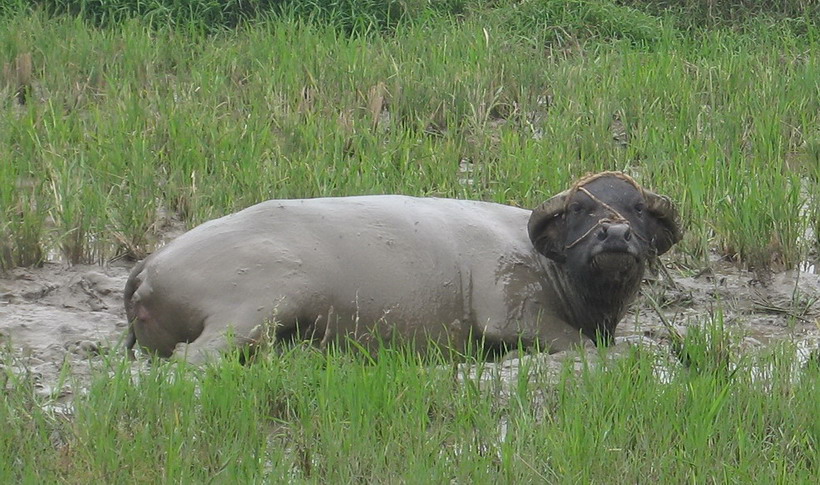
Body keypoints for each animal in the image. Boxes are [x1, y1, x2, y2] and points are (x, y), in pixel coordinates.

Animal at [125, 172, 684, 362]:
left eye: (636, 207)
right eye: (582, 210)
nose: (616, 235)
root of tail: (150, 264)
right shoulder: (511, 316)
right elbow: (580, 345)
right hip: (254, 308)